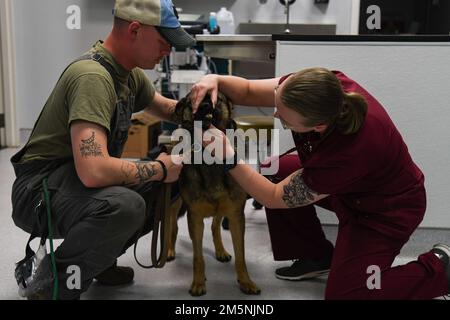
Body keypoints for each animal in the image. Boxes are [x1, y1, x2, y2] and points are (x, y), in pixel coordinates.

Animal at [169, 93, 260, 298]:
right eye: (190, 100)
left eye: (215, 97)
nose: (204, 106)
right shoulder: (194, 218)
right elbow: (198, 257)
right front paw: (198, 283)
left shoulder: (235, 216)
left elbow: (241, 256)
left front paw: (246, 282)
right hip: (173, 202)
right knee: (171, 226)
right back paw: (169, 249)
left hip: (221, 208)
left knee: (214, 226)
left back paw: (220, 251)